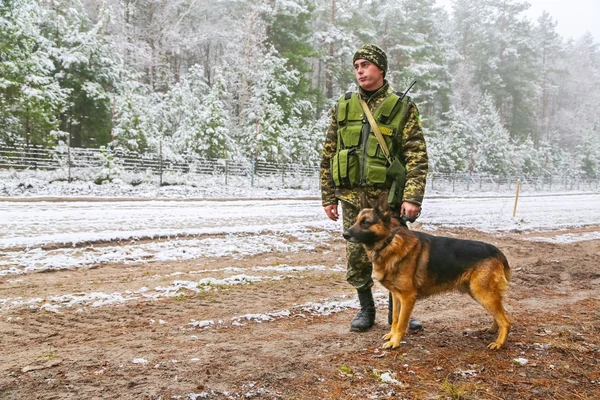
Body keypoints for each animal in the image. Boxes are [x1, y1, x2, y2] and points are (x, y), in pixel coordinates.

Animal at [342, 194, 510, 350]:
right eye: (356, 221)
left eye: (366, 222)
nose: (344, 234)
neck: (389, 242)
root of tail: (497, 251)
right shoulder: (396, 296)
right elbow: (395, 318)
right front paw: (392, 335)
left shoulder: (408, 297)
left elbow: (401, 322)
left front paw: (395, 342)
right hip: (478, 293)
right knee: (500, 314)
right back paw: (493, 330)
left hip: (482, 293)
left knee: (506, 320)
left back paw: (499, 343)